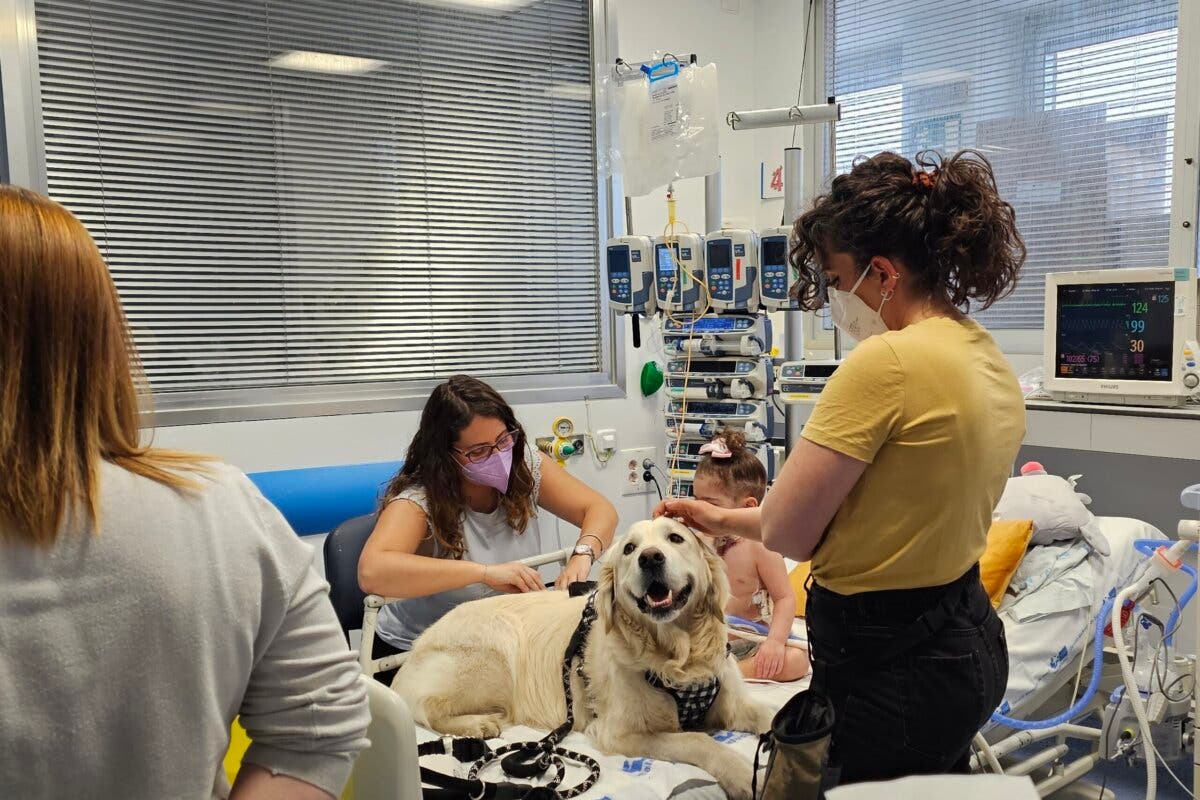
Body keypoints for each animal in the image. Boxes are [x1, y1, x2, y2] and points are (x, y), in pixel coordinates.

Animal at [388, 515, 772, 796]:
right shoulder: (619, 732)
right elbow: (696, 739)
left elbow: (769, 713)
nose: (650, 558)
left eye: (676, 538)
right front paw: (742, 774)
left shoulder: (732, 701)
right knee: (426, 706)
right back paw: (478, 724)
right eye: (629, 549)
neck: (676, 656)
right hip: (496, 652)